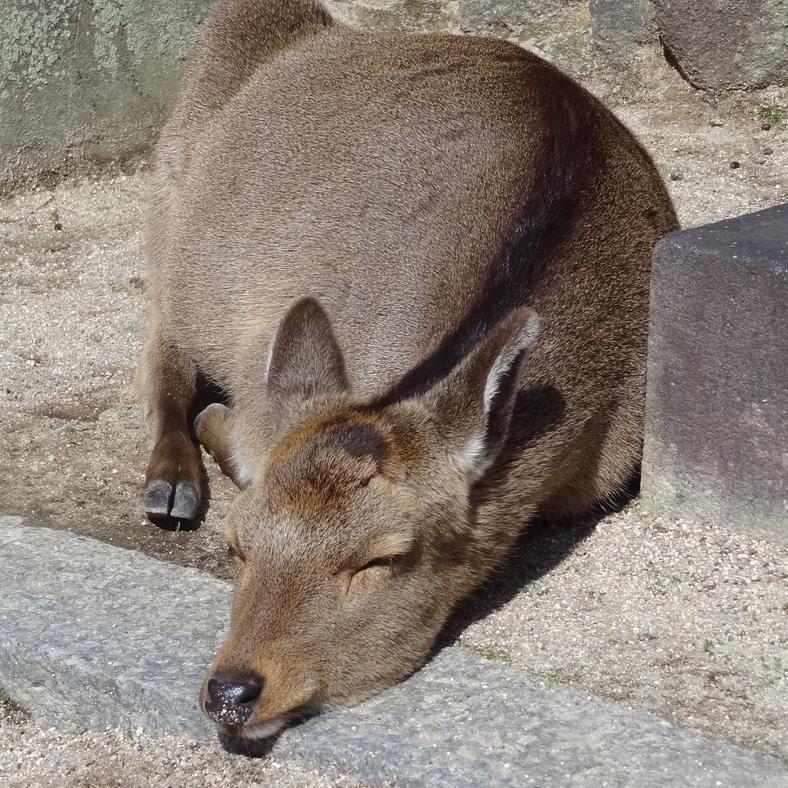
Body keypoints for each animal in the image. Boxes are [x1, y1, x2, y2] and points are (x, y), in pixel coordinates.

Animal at [137, 0, 676, 744]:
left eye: (383, 558)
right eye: (238, 543)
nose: (232, 692)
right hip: (170, 197)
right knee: (162, 342)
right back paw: (171, 485)